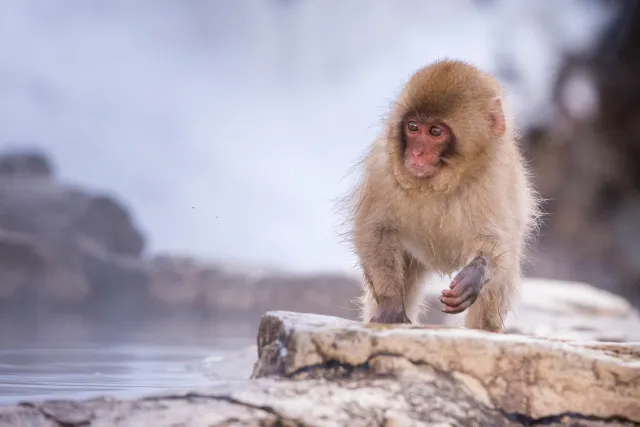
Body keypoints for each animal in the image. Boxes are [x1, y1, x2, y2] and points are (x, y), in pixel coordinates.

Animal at [340, 59, 540, 334]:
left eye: (435, 132)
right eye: (413, 127)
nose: (416, 153)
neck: (439, 184)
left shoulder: (497, 179)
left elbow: (497, 245)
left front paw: (477, 272)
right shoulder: (382, 167)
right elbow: (374, 230)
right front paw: (391, 303)